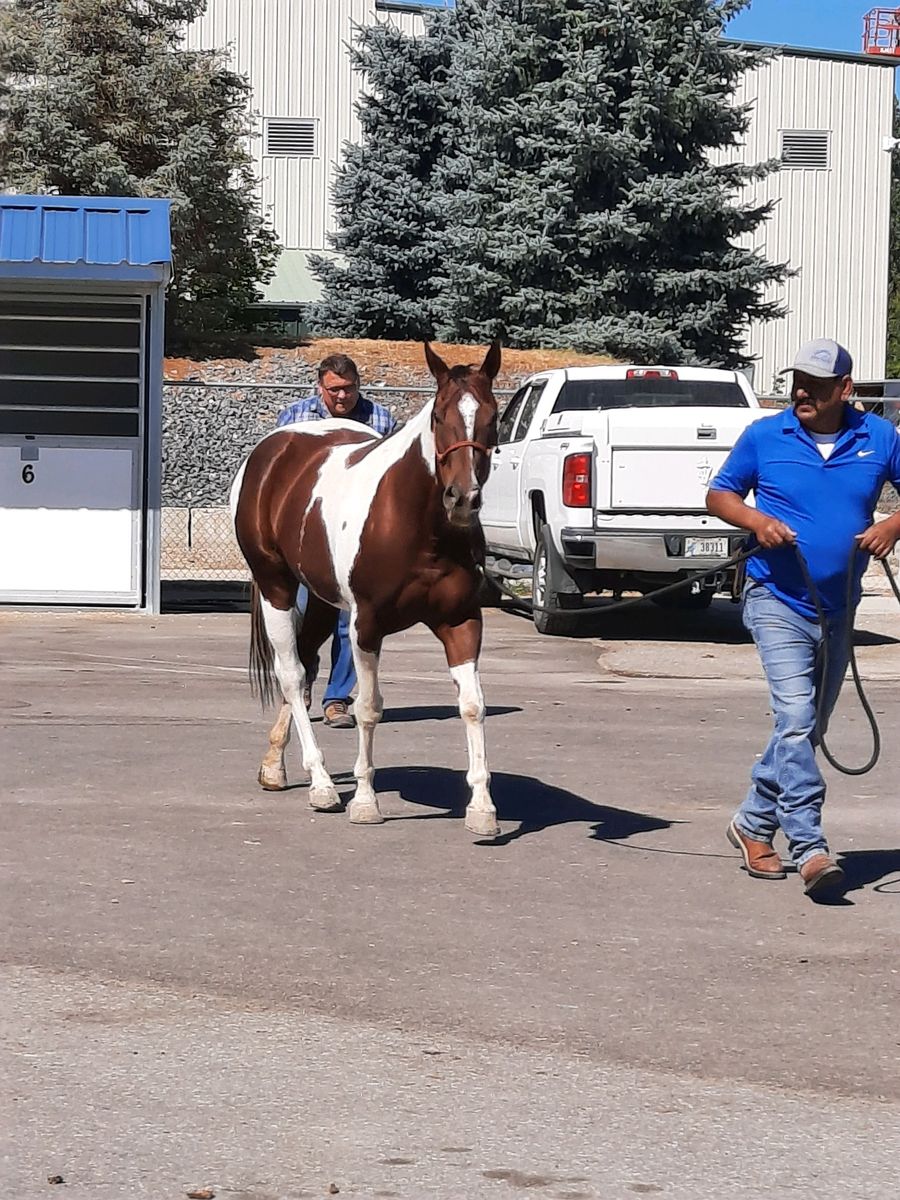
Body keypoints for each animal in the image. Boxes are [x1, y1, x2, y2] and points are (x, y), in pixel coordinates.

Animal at [230, 341, 503, 837]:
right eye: (439, 416)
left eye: (493, 416)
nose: (462, 499)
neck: (419, 526)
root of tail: (273, 449)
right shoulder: (367, 625)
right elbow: (369, 709)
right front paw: (364, 801)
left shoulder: (460, 622)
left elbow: (473, 706)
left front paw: (482, 809)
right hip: (277, 585)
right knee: (291, 673)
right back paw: (320, 784)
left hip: (320, 600)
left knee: (305, 668)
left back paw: (275, 766)